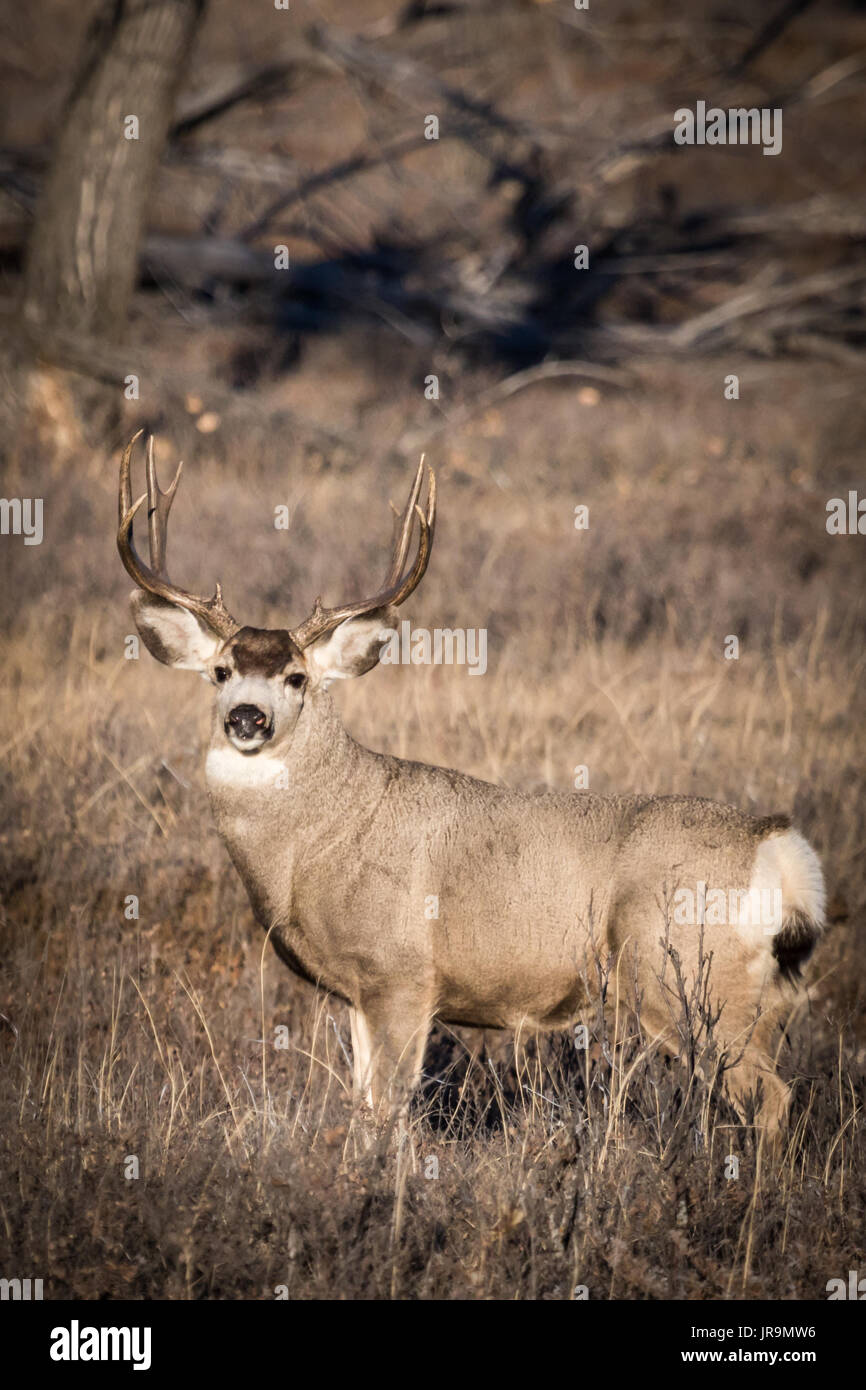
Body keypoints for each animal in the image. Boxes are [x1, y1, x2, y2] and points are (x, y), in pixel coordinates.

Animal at [116, 428, 828, 1134]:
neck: (317, 845)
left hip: (684, 974)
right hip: (754, 994)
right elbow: (362, 1102)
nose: (247, 716)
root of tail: (774, 843)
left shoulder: (402, 974)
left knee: (771, 1096)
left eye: (296, 677)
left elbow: (386, 1110)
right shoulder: (359, 992)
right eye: (221, 671)